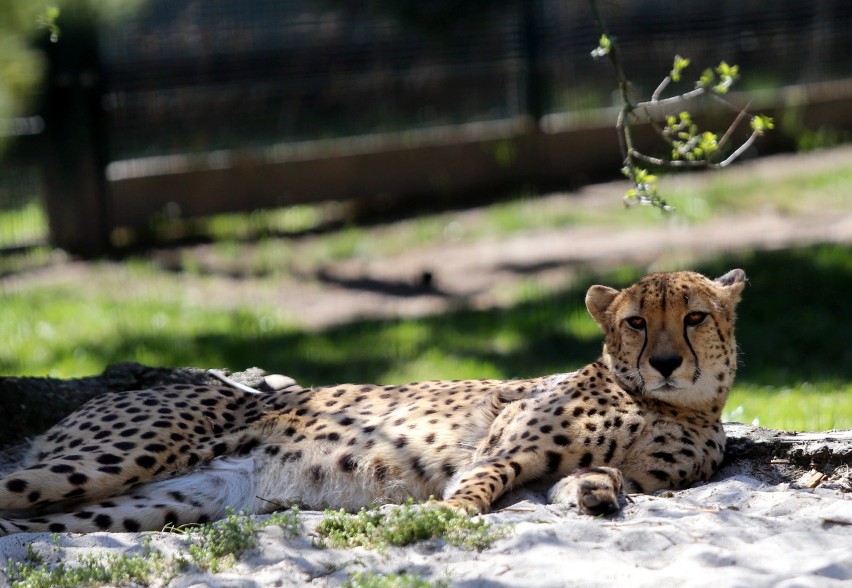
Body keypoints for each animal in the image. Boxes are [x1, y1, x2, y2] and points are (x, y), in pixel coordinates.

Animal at [0, 268, 744, 536]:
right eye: (637, 322)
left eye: (695, 317)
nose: (666, 362)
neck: (670, 406)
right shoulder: (504, 445)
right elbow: (482, 482)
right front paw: (449, 515)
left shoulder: (607, 469)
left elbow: (594, 478)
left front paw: (594, 493)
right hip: (118, 458)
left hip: (151, 503)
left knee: (27, 526)